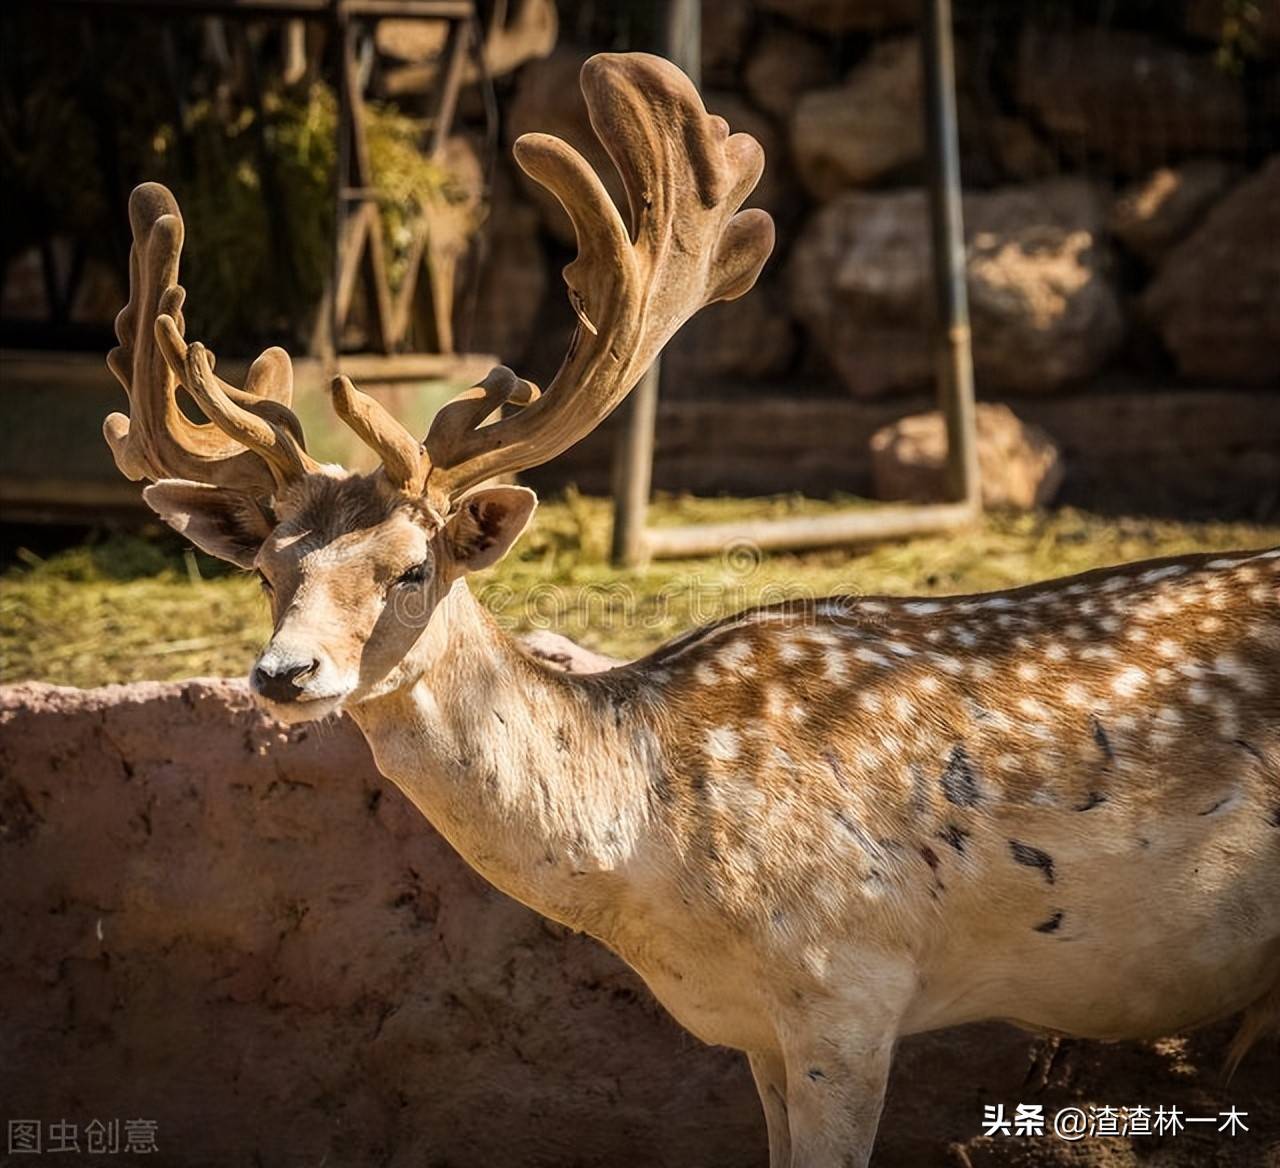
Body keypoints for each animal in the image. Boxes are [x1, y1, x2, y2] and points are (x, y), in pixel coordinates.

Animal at [102, 54, 1280, 1168]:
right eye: (269, 570)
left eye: (410, 569)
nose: (284, 675)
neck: (664, 884)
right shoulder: (757, 1031)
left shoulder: (849, 987)